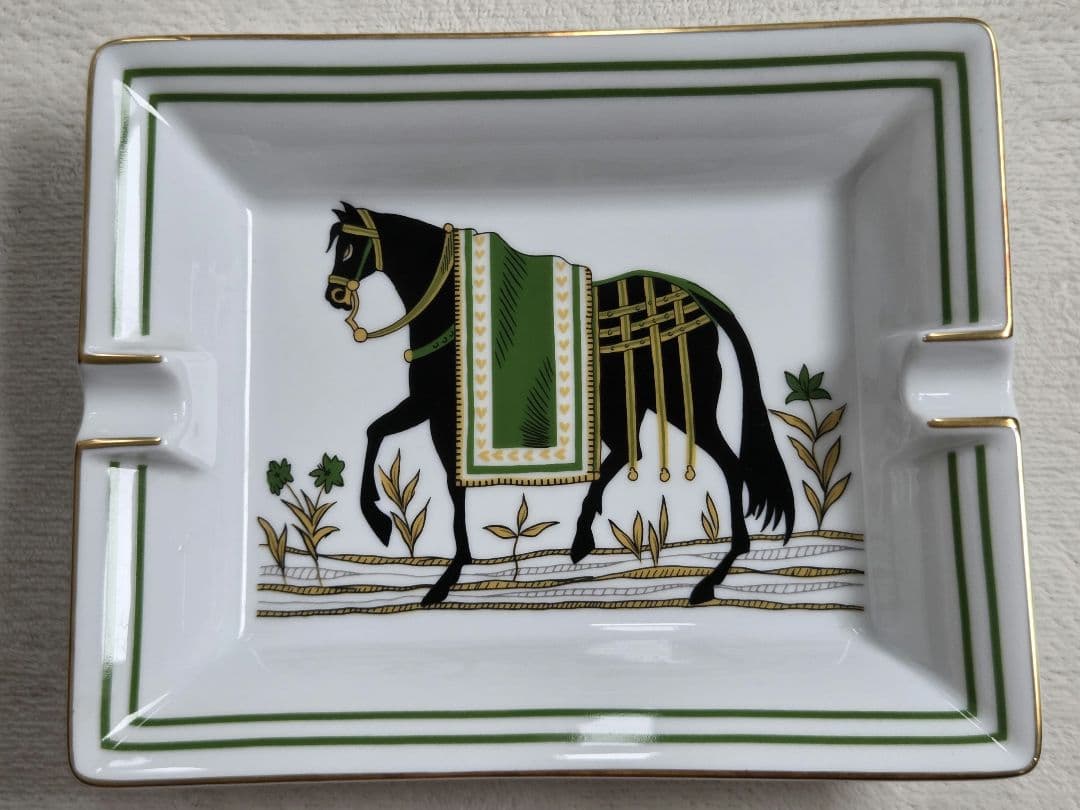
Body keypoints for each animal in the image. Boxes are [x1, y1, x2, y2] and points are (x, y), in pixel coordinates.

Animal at [323, 203, 794, 606]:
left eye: (347, 247)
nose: (334, 296)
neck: (448, 308)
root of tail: (697, 301)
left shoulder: (440, 411)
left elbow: (446, 484)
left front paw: (434, 565)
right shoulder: (430, 405)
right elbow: (376, 432)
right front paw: (385, 524)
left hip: (682, 402)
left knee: (729, 466)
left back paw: (712, 577)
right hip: (630, 404)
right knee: (630, 451)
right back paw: (583, 537)